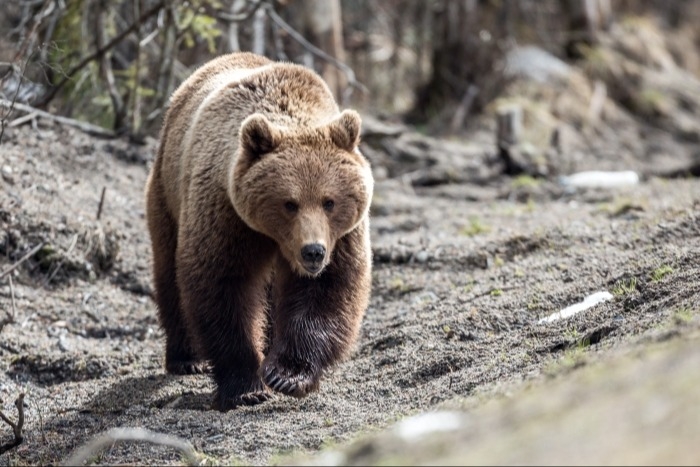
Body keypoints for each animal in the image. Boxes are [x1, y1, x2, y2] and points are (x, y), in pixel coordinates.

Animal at [144, 51, 374, 412]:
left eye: (329, 201)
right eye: (289, 203)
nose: (313, 252)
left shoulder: (343, 236)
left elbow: (328, 288)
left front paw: (286, 374)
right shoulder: (226, 214)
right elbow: (223, 286)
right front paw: (245, 386)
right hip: (167, 193)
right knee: (169, 272)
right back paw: (186, 358)